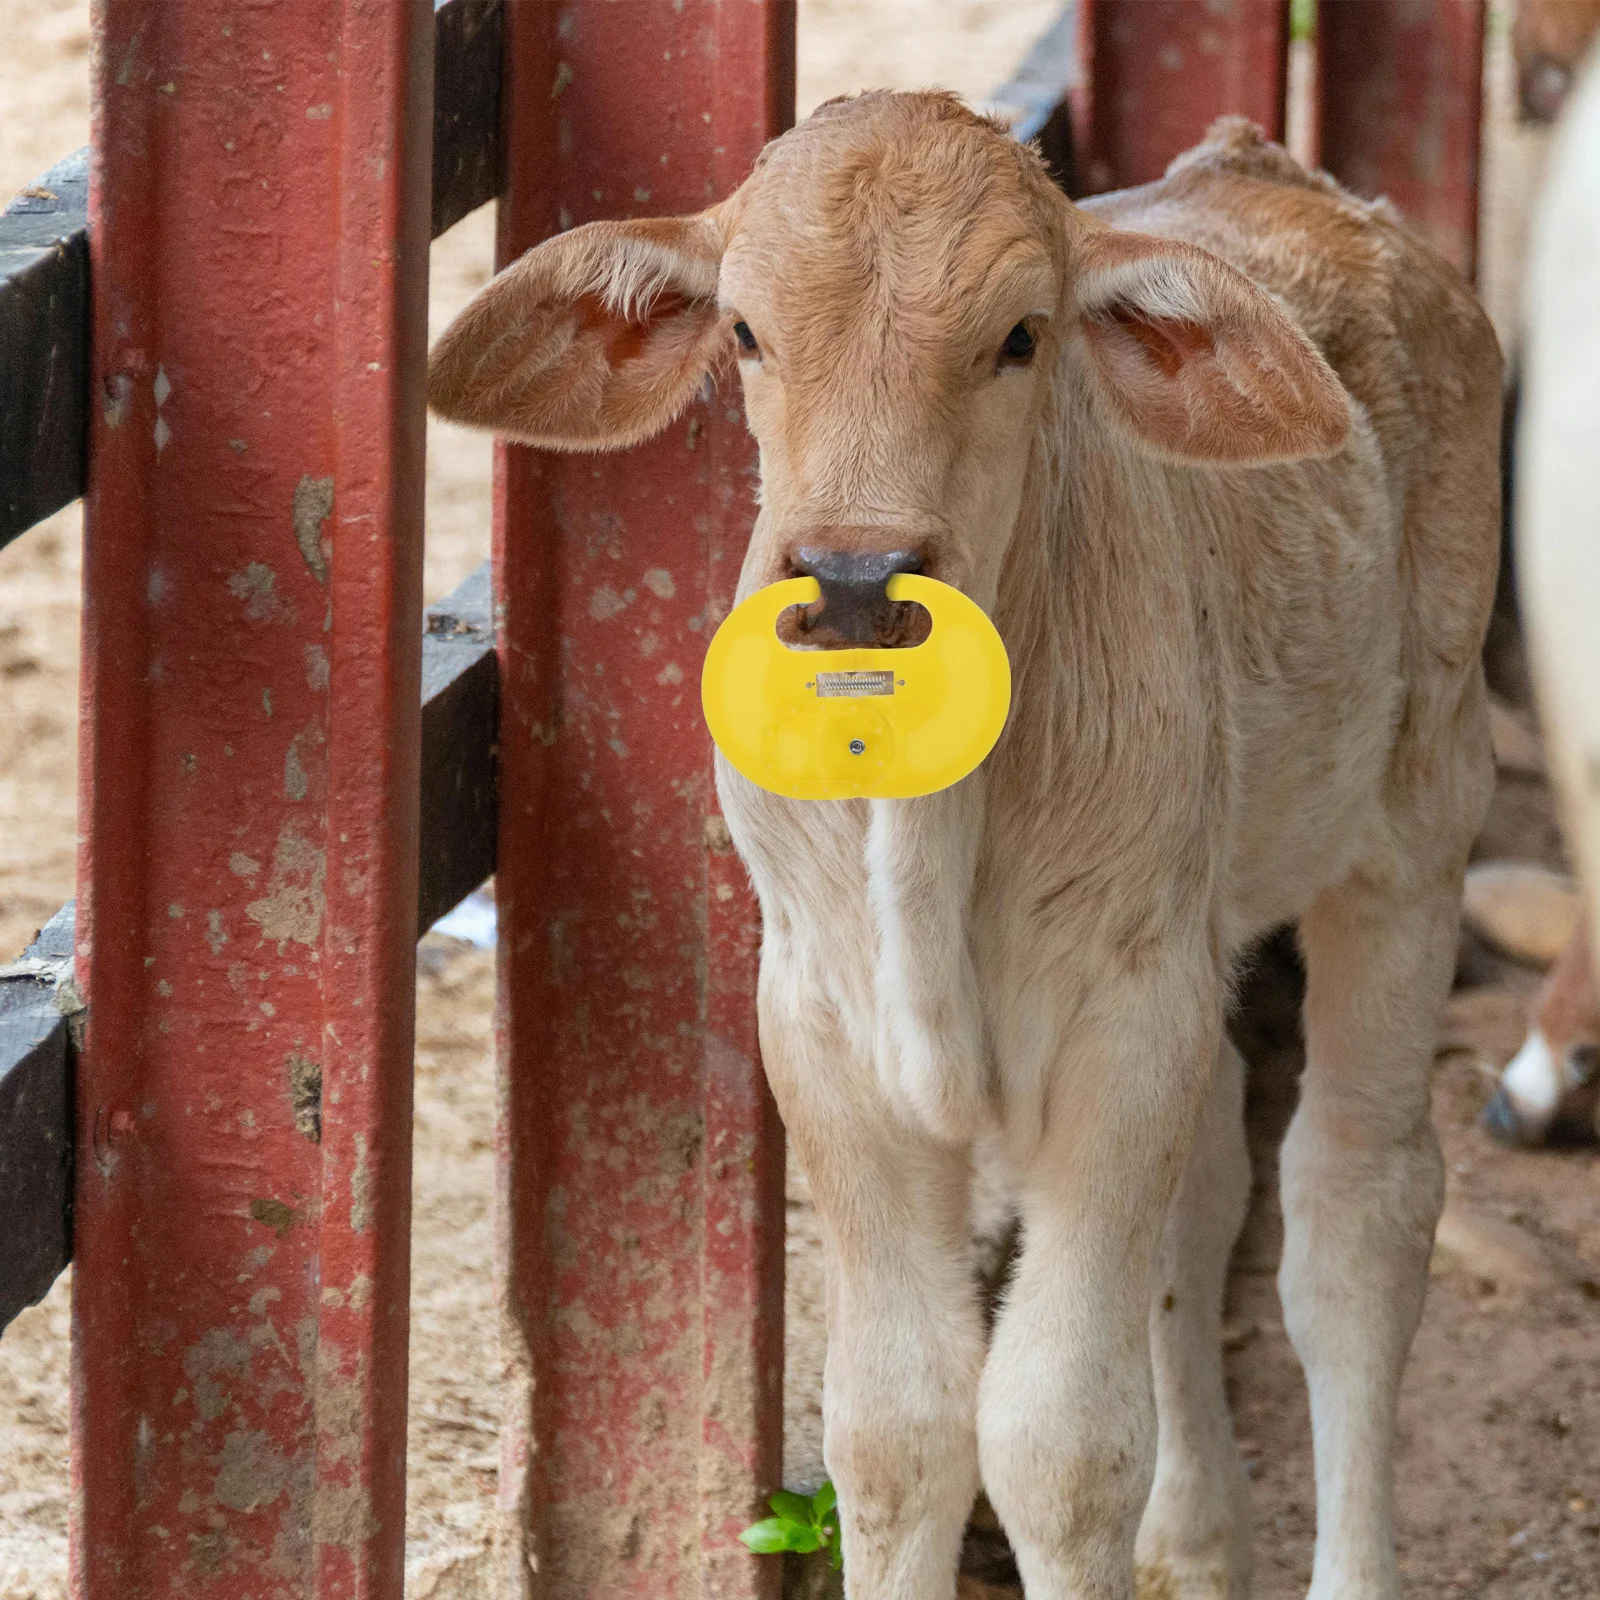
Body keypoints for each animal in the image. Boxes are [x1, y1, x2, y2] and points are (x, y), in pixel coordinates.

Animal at [429, 96, 1502, 1600]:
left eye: (1020, 336)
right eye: (746, 332)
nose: (856, 582)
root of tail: (1284, 175)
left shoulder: (1125, 1010)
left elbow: (1059, 1439)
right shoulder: (820, 1020)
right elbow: (895, 1428)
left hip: (1419, 815)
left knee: (1357, 1210)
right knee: (1211, 1187)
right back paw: (1194, 1541)